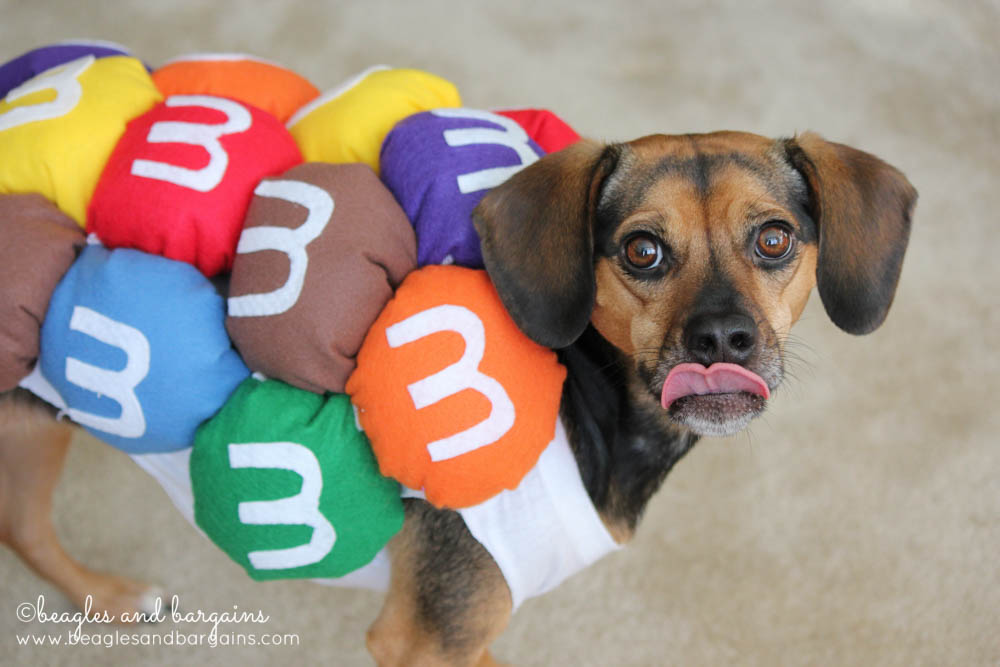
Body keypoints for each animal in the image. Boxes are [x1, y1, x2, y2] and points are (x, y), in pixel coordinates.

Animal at [0, 128, 916, 664]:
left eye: (775, 238)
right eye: (642, 250)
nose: (722, 340)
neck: (584, 404)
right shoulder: (424, 639)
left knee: (23, 525)